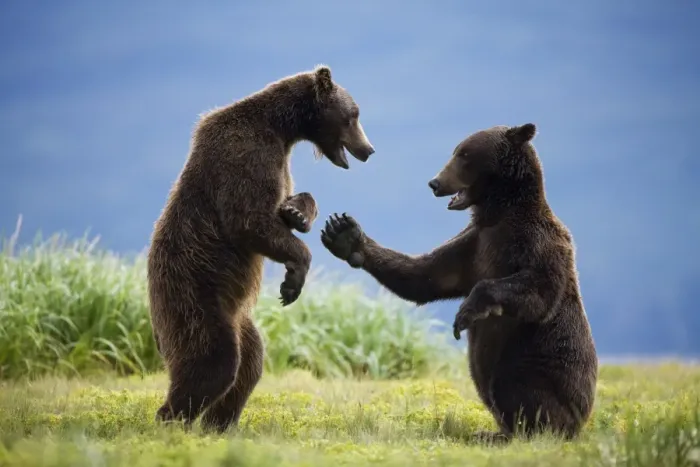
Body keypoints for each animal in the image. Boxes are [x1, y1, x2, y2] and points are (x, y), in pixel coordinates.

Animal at [147, 65, 375, 433]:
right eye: (353, 115)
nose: (368, 149)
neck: (281, 128)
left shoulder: (280, 160)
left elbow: (287, 201)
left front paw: (297, 212)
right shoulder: (246, 154)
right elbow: (249, 221)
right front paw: (293, 279)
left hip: (240, 317)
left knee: (250, 363)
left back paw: (218, 425)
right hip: (193, 295)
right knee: (214, 361)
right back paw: (173, 421)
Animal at [320, 123, 598, 444]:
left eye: (464, 154)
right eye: (456, 151)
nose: (435, 182)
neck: (499, 215)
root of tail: (582, 420)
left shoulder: (538, 244)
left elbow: (539, 293)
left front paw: (466, 314)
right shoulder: (473, 246)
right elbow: (426, 277)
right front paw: (345, 234)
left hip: (544, 367)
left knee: (515, 385)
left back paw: (517, 432)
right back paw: (491, 431)